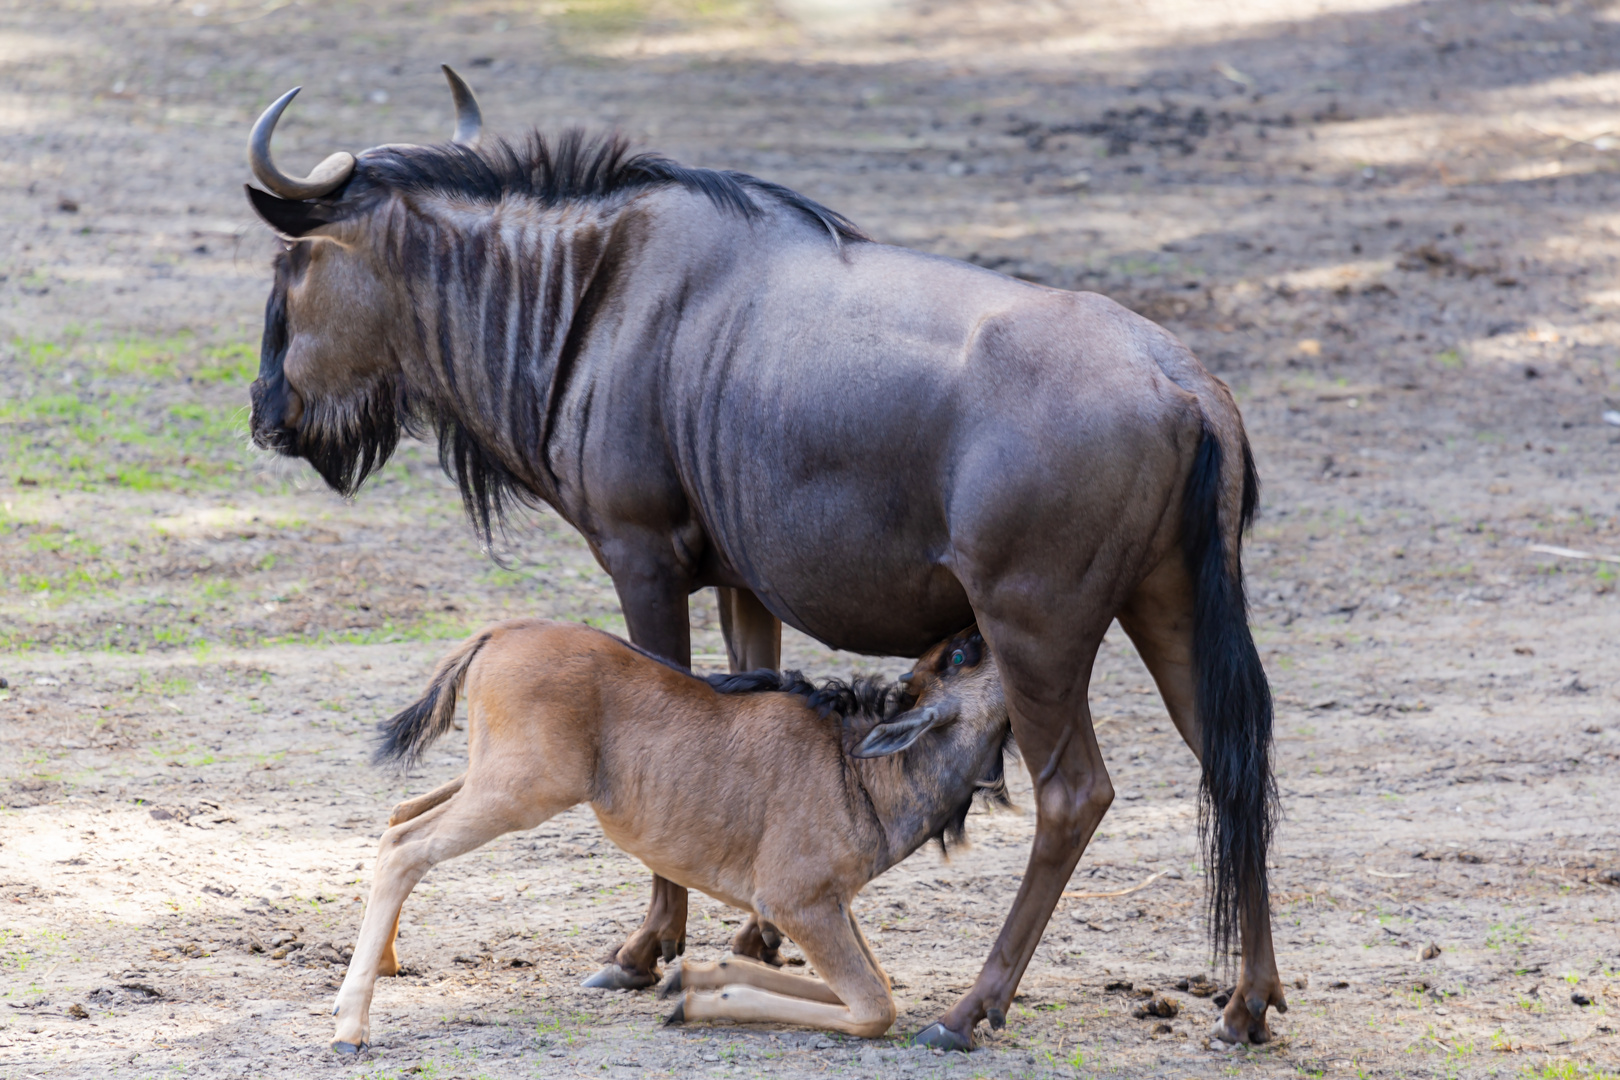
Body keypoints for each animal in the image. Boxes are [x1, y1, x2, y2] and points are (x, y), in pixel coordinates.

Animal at [328, 621, 1004, 1049]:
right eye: (960, 657)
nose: (984, 631)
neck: (862, 769)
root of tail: (501, 632)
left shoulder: (831, 905)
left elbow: (870, 985)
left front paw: (694, 976)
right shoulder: (799, 902)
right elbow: (874, 1006)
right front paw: (698, 998)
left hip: (488, 780)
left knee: (400, 815)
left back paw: (381, 969)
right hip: (518, 793)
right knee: (406, 848)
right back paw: (350, 1028)